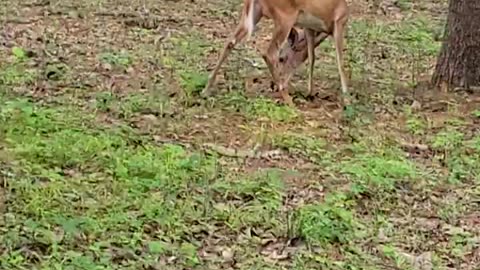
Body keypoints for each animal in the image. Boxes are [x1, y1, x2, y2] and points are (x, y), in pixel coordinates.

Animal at [201, 0, 350, 106]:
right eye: (282, 59)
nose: (272, 85)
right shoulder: (340, 21)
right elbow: (340, 63)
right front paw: (347, 99)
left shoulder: (309, 27)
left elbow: (311, 57)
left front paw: (310, 93)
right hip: (285, 17)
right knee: (269, 53)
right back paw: (289, 101)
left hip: (255, 13)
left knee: (230, 42)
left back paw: (206, 90)